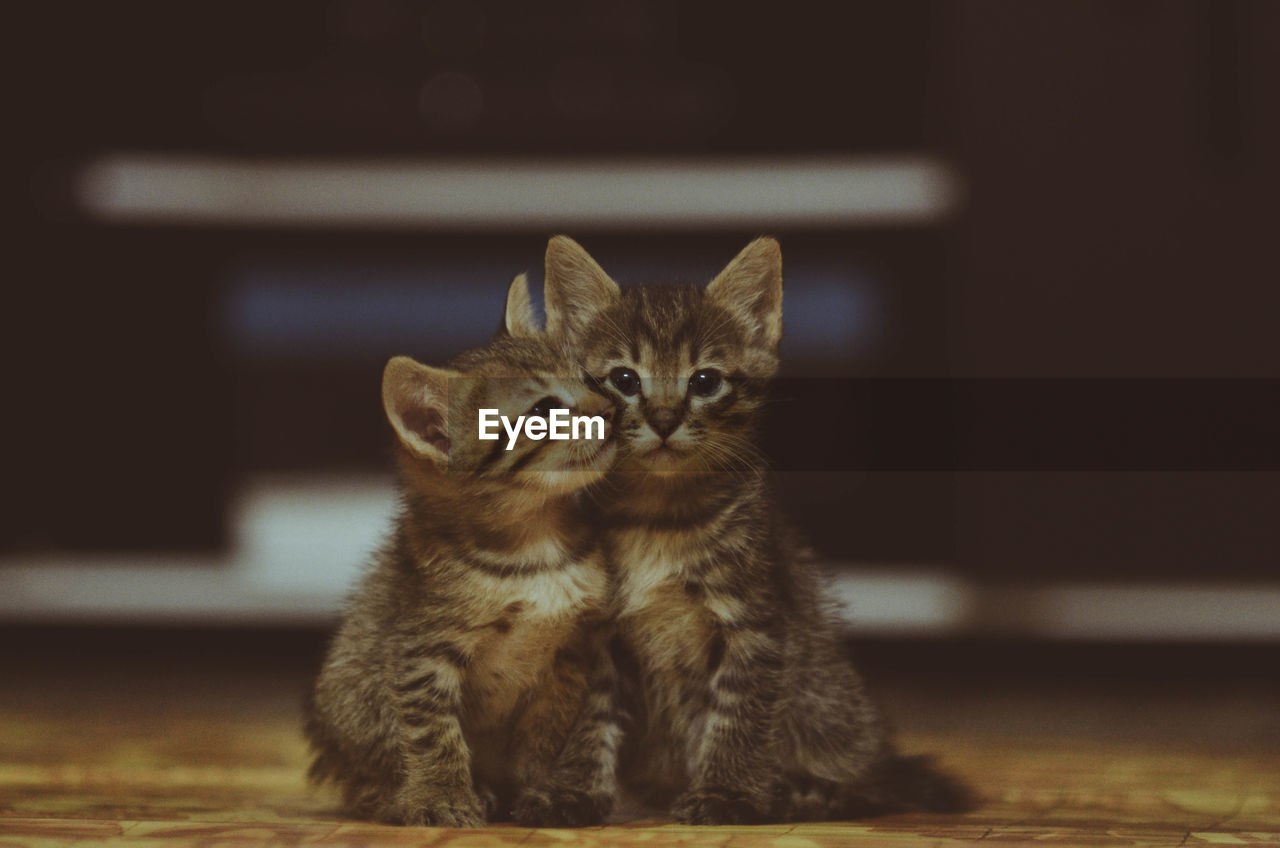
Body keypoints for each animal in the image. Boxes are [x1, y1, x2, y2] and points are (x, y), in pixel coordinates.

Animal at [309, 277, 629, 830]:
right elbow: (433, 734)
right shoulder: (421, 652)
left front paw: (541, 787)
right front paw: (442, 797)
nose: (611, 409)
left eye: (589, 378)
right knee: (366, 779)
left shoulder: (571, 650)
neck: (536, 546)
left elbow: (548, 728)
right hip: (349, 697)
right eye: (544, 412)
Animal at [540, 236, 967, 824]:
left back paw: (807, 792)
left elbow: (738, 714)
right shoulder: (594, 630)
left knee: (871, 783)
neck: (658, 514)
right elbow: (590, 715)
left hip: (828, 701)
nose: (665, 419)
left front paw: (727, 794)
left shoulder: (757, 622)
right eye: (624, 379)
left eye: (705, 381)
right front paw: (574, 790)